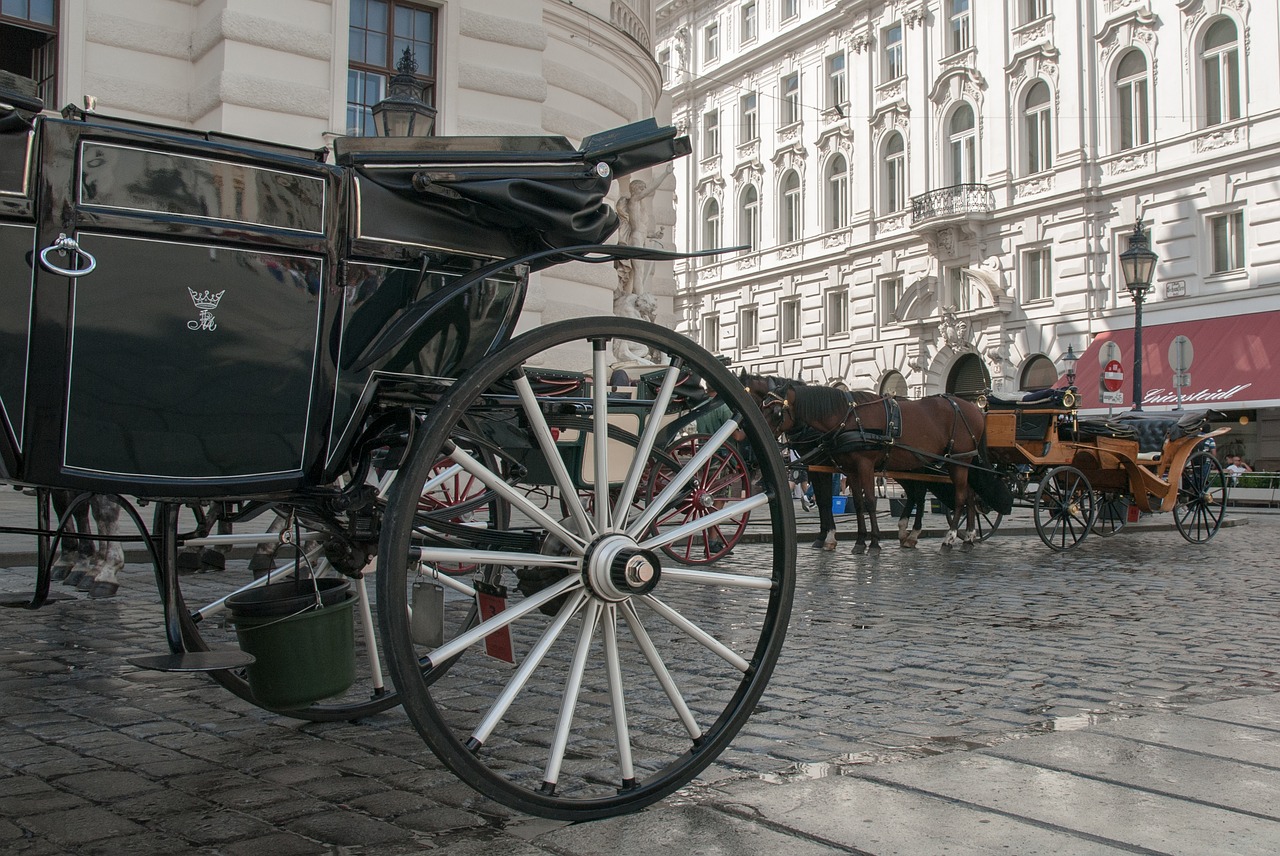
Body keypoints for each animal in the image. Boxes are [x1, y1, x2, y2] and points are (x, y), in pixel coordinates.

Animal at [747, 371, 1003, 550]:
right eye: (761, 405)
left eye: (775, 412)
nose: (752, 436)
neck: (847, 417)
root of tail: (973, 408)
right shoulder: (847, 468)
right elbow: (856, 503)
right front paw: (858, 540)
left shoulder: (862, 465)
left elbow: (867, 500)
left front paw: (873, 541)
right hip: (931, 464)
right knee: (959, 495)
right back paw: (960, 536)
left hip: (957, 462)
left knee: (959, 498)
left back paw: (949, 538)